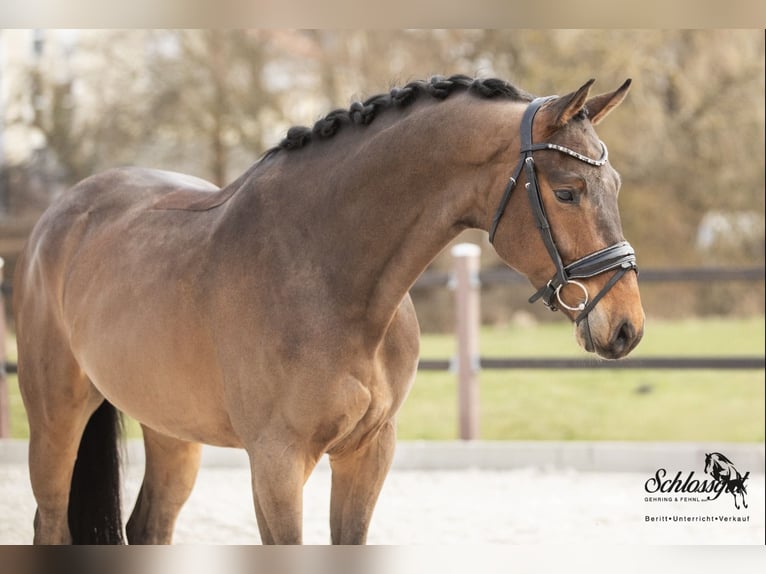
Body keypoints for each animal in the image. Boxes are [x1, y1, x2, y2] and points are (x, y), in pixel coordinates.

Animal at [13, 74, 645, 544]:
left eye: (613, 184)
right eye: (566, 191)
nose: (626, 327)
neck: (328, 274)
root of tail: (58, 214)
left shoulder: (368, 453)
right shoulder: (276, 462)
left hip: (172, 432)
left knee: (148, 527)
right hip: (56, 421)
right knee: (50, 523)